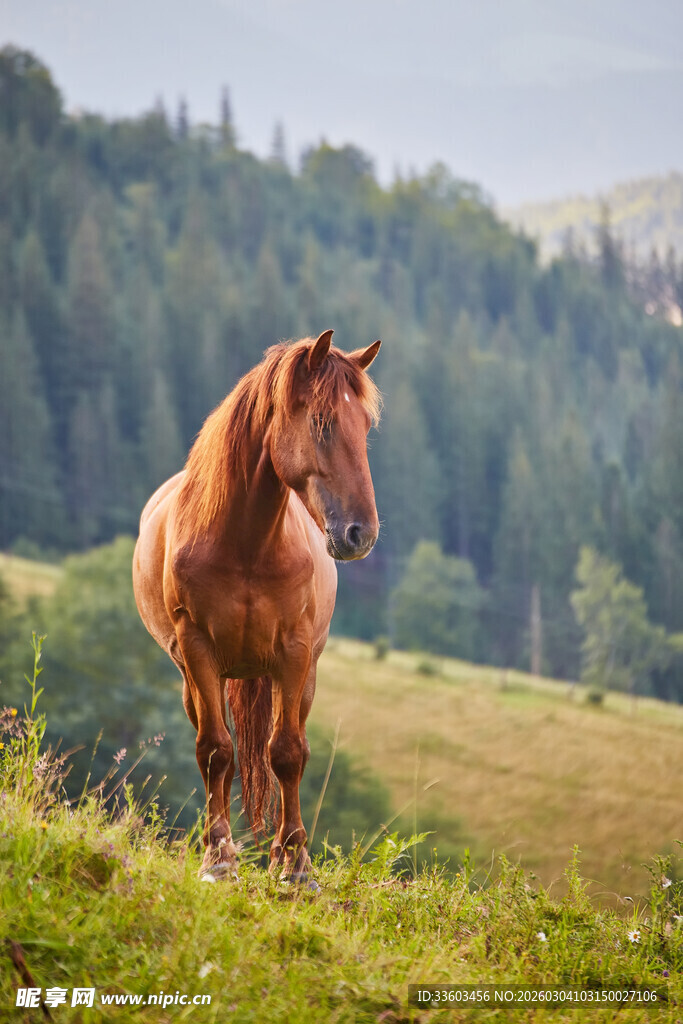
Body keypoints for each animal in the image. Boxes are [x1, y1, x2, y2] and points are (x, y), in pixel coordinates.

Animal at [132, 330, 382, 883]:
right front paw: (219, 857)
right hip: (197, 678)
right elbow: (215, 751)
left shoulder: (293, 652)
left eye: (366, 427)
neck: (245, 544)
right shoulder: (198, 649)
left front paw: (295, 865)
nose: (362, 534)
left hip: (302, 676)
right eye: (322, 422)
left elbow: (286, 754)